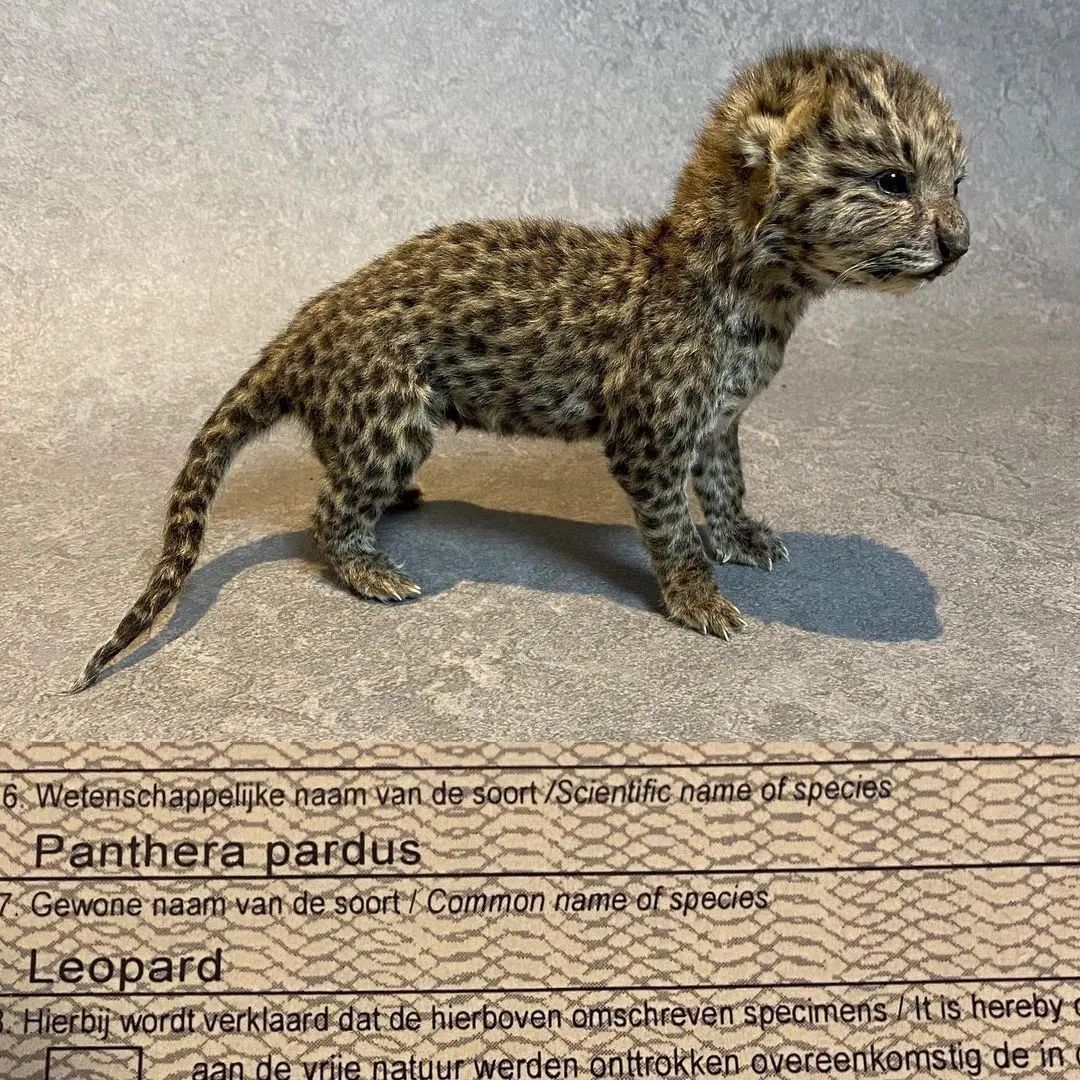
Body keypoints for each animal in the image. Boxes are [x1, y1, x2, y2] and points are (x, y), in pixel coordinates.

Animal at [72, 43, 969, 691]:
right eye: (893, 181)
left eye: (958, 182)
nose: (961, 244)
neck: (762, 295)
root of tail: (305, 326)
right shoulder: (647, 437)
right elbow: (672, 526)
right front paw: (697, 597)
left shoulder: (716, 422)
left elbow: (724, 484)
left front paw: (741, 535)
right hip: (392, 415)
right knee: (325, 512)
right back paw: (371, 570)